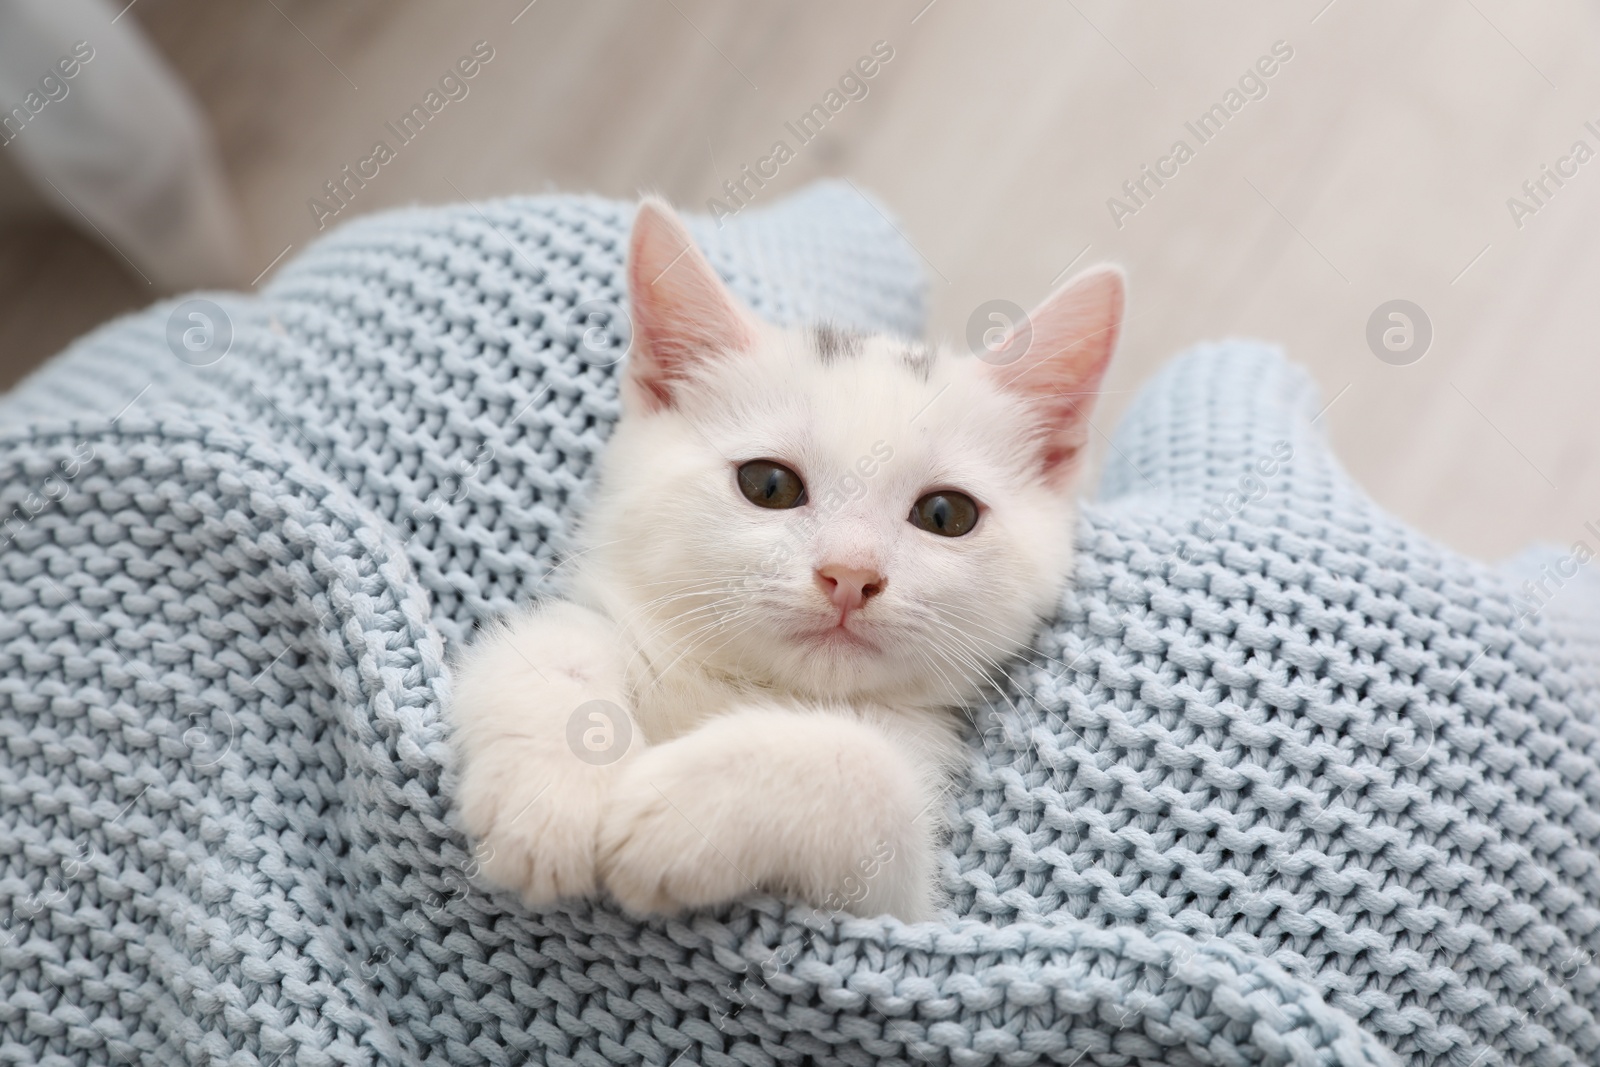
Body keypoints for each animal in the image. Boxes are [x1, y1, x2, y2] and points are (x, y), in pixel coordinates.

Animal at [448, 202, 1126, 927]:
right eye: (769, 484)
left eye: (946, 514)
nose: (850, 574)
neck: (757, 690)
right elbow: (555, 640)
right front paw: (550, 799)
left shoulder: (896, 907)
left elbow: (861, 764)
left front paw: (685, 809)